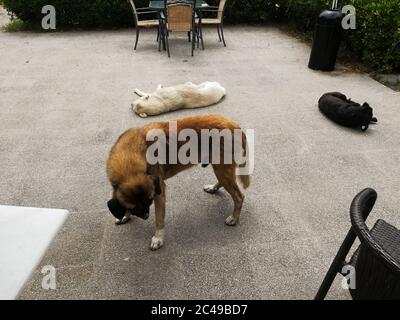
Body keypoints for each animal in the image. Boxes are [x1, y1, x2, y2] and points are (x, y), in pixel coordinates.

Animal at [106, 114, 250, 250]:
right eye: (133, 206)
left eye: (150, 200)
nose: (146, 216)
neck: (128, 157)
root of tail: (236, 126)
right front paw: (124, 216)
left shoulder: (159, 192)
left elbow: (159, 218)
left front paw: (158, 238)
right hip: (220, 168)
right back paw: (214, 188)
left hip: (222, 169)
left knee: (239, 196)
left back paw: (234, 218)